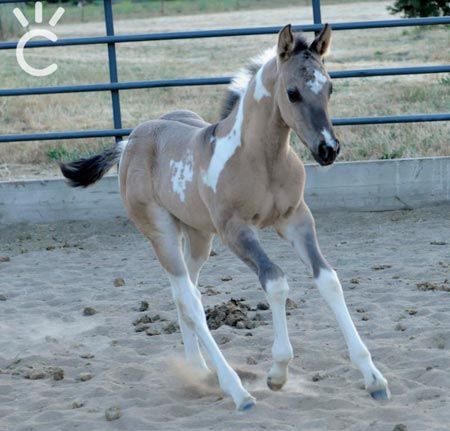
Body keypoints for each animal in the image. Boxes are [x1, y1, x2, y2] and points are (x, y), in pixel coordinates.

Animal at [60, 24, 390, 412]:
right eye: (292, 93)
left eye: (330, 88)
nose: (328, 149)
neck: (260, 159)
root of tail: (130, 142)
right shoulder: (236, 231)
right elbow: (276, 282)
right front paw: (277, 373)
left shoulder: (295, 219)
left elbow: (328, 279)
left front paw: (373, 378)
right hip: (161, 233)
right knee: (189, 298)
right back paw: (236, 390)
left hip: (198, 236)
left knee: (186, 295)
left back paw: (200, 370)